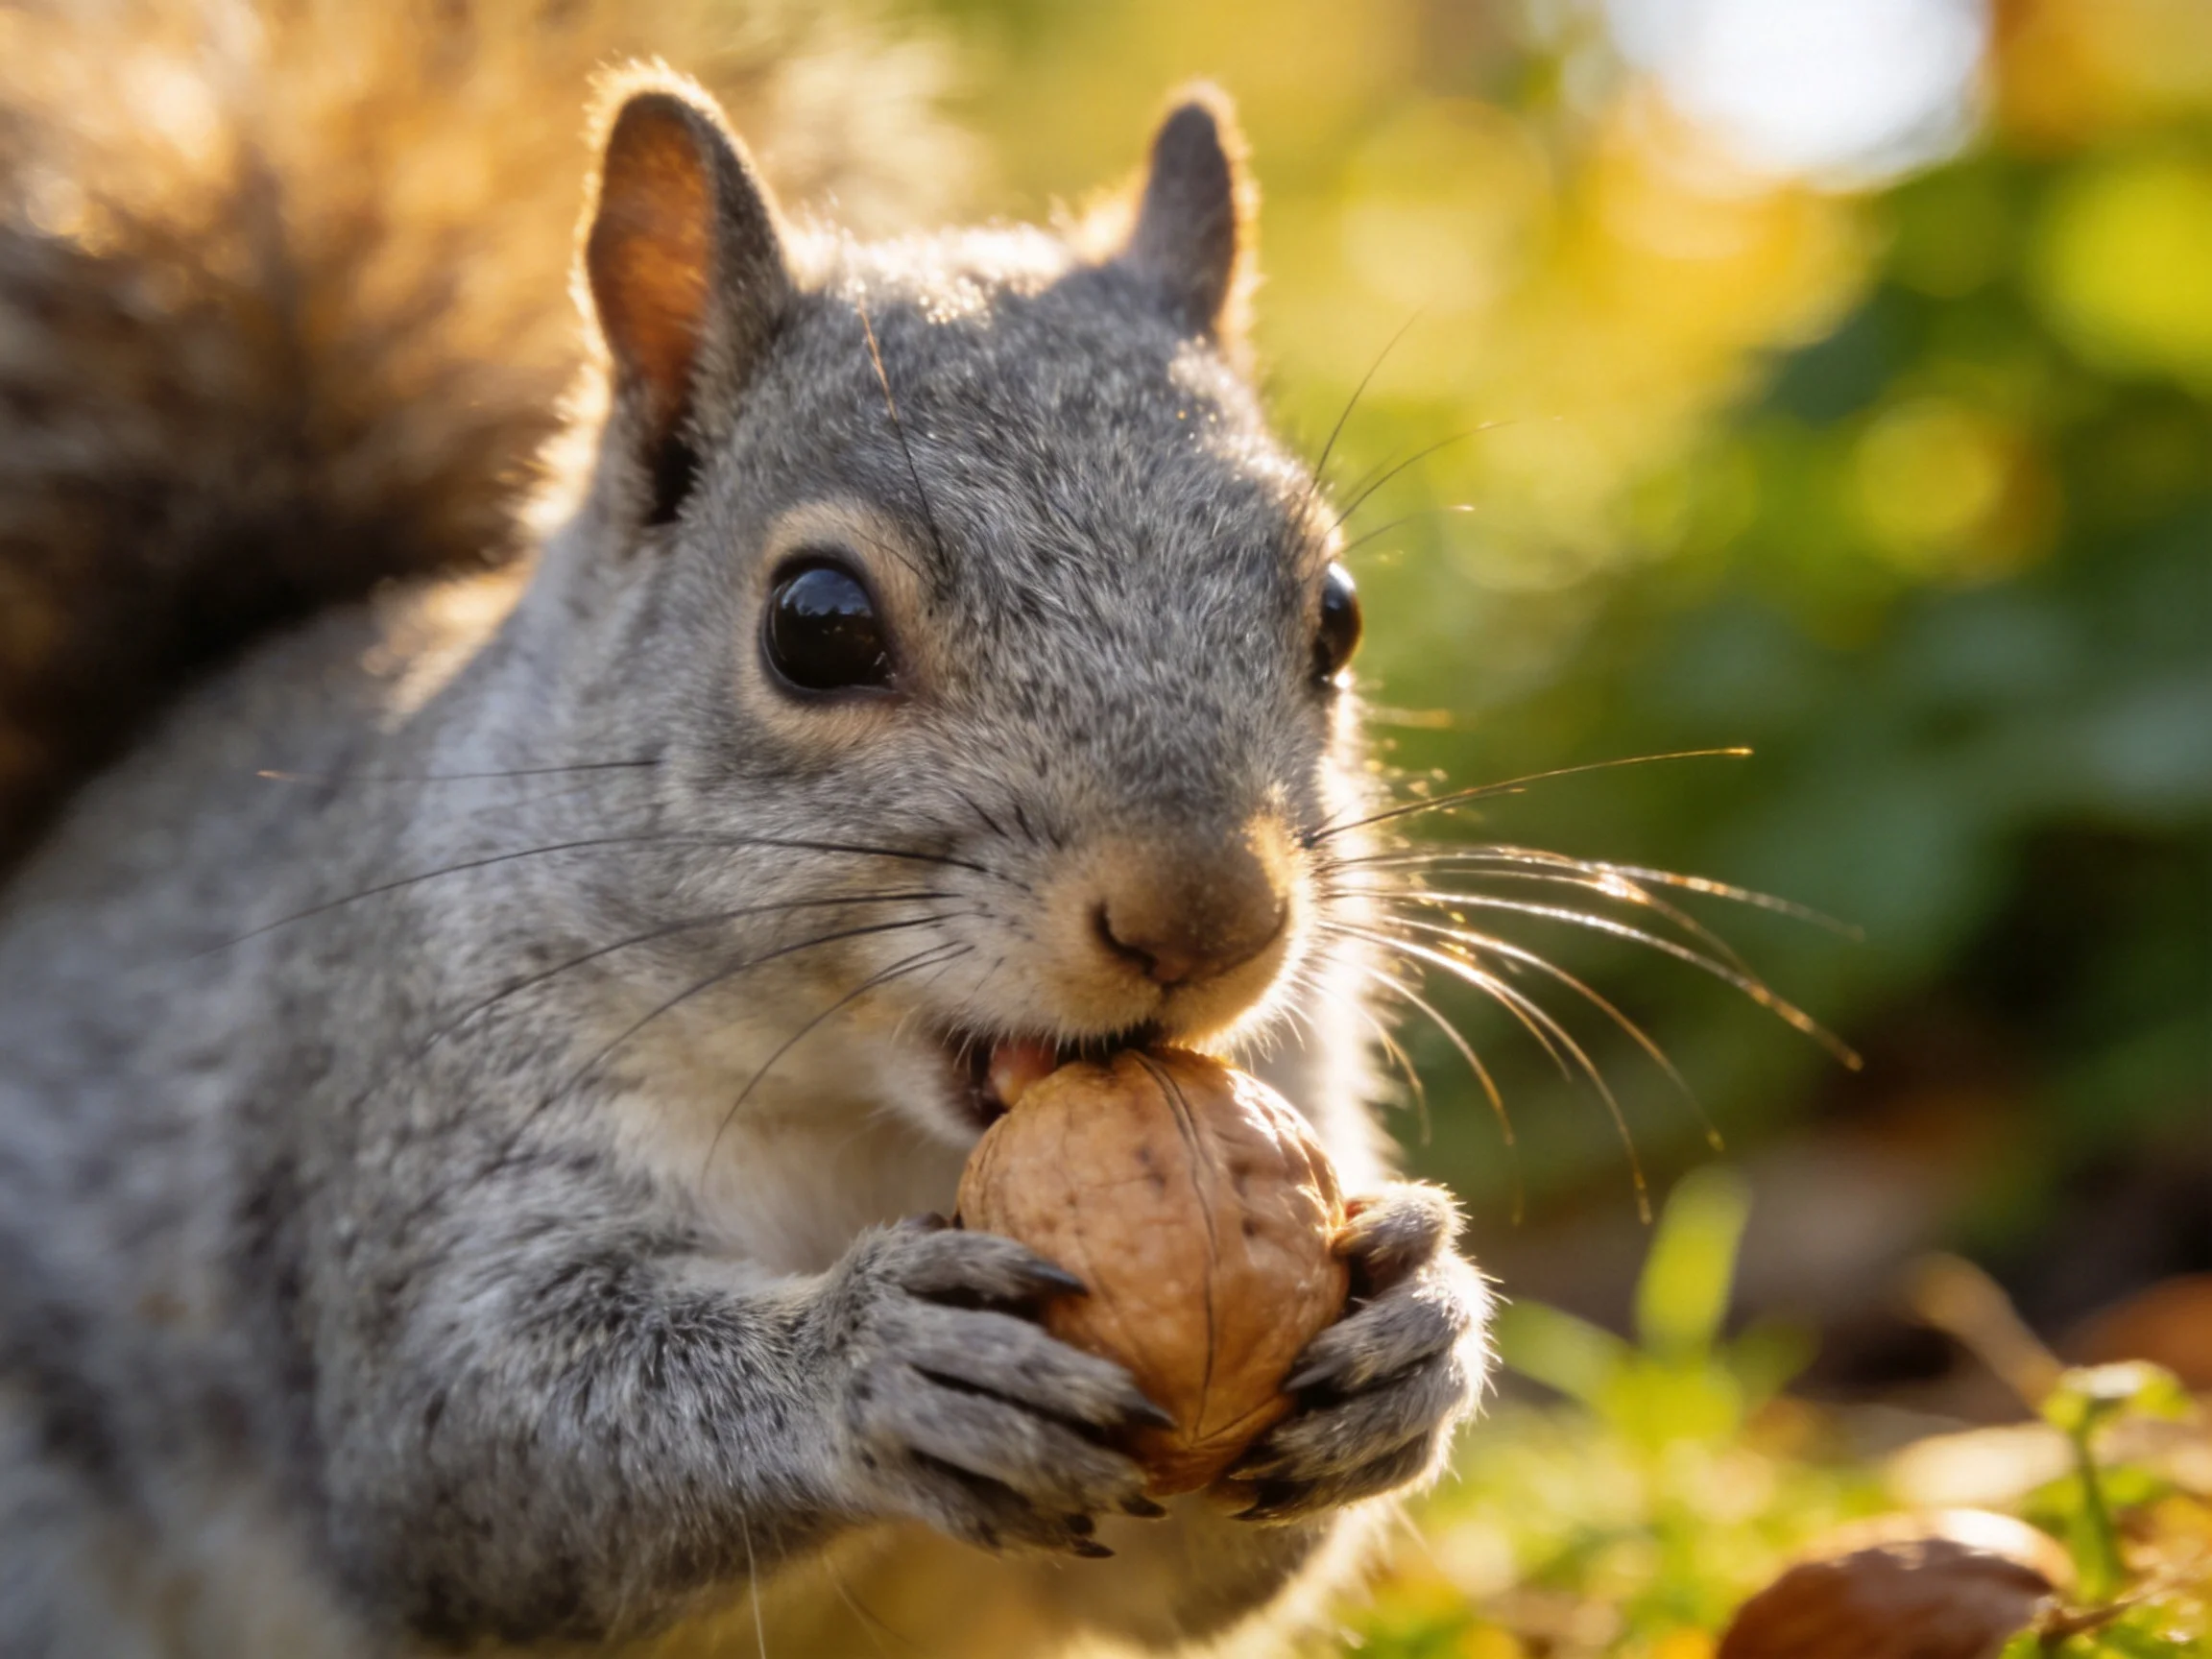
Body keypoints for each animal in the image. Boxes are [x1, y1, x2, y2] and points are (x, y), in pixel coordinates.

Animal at [0, 1, 1493, 1655]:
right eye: (817, 626)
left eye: (1336, 615)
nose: (1209, 915)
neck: (868, 1131)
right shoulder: (401, 1120)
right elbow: (458, 1450)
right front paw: (869, 1363)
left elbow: (1199, 1564)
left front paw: (1415, 1326)